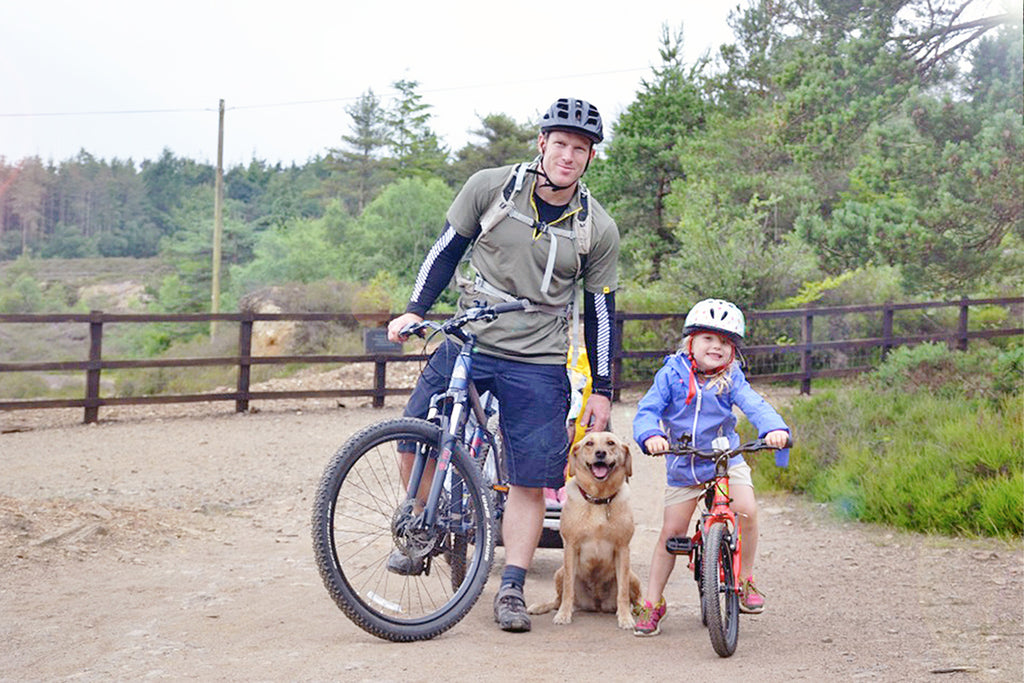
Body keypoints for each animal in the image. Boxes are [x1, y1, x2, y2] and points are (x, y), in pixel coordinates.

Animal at [528, 432, 638, 630]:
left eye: (611, 443)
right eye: (589, 444)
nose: (600, 453)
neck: (599, 500)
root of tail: (597, 604)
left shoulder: (623, 548)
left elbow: (623, 593)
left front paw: (625, 617)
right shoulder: (571, 547)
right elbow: (568, 591)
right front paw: (563, 615)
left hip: (633, 576)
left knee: (636, 599)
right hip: (560, 573)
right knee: (557, 600)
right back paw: (542, 607)